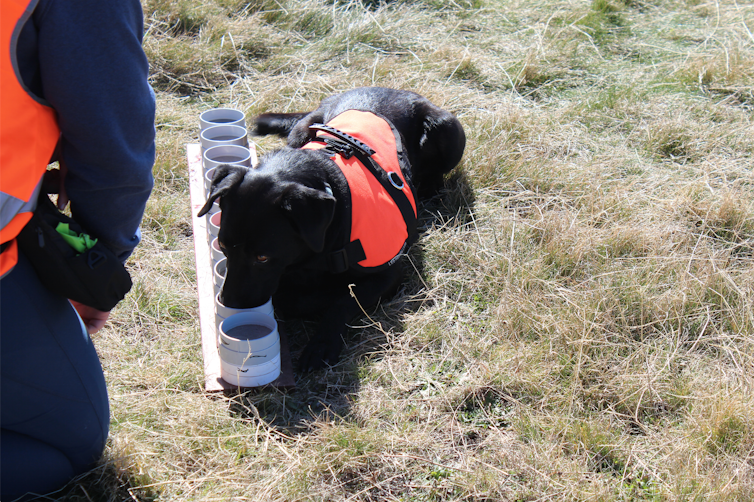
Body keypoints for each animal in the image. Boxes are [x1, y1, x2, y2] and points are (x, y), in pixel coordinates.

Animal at [197, 85, 462, 368]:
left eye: (262, 257)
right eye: (223, 247)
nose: (228, 302)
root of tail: (387, 88)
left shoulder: (389, 273)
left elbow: (343, 301)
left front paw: (322, 342)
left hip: (449, 132)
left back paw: (431, 187)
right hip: (301, 129)